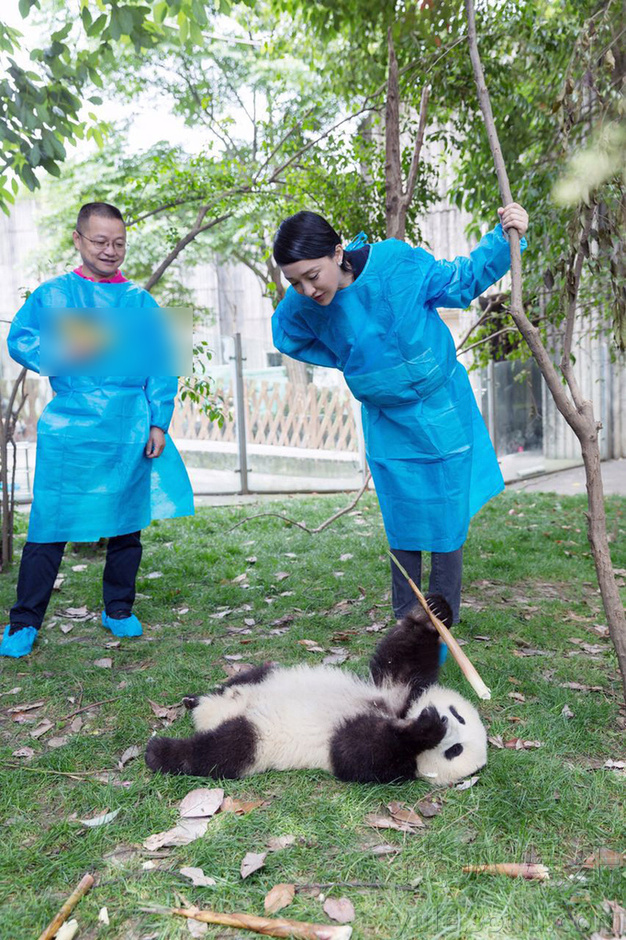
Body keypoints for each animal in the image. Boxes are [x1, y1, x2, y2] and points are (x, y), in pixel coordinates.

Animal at [144, 596, 486, 784]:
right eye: (459, 715)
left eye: (454, 751)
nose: (446, 720)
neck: (399, 716)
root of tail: (212, 715)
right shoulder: (398, 691)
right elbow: (401, 657)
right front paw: (434, 612)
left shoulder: (388, 763)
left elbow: (359, 751)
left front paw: (425, 730)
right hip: (266, 676)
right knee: (242, 680)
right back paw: (193, 700)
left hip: (261, 738)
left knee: (221, 751)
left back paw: (160, 752)